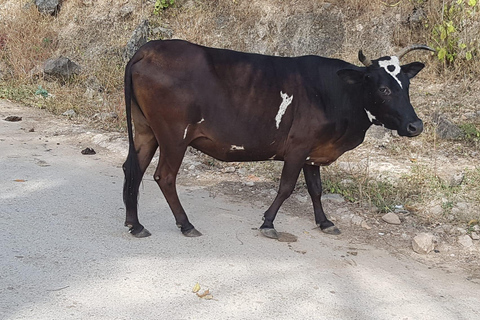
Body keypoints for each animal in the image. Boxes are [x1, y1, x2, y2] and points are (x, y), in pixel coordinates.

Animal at [122, 40, 434, 239]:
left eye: (406, 85)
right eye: (383, 88)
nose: (415, 125)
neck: (336, 93)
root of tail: (148, 48)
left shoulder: (313, 151)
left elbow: (316, 189)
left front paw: (325, 222)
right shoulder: (297, 147)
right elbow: (286, 188)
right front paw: (268, 223)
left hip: (146, 130)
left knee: (132, 169)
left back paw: (135, 224)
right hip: (174, 136)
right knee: (164, 176)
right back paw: (186, 224)